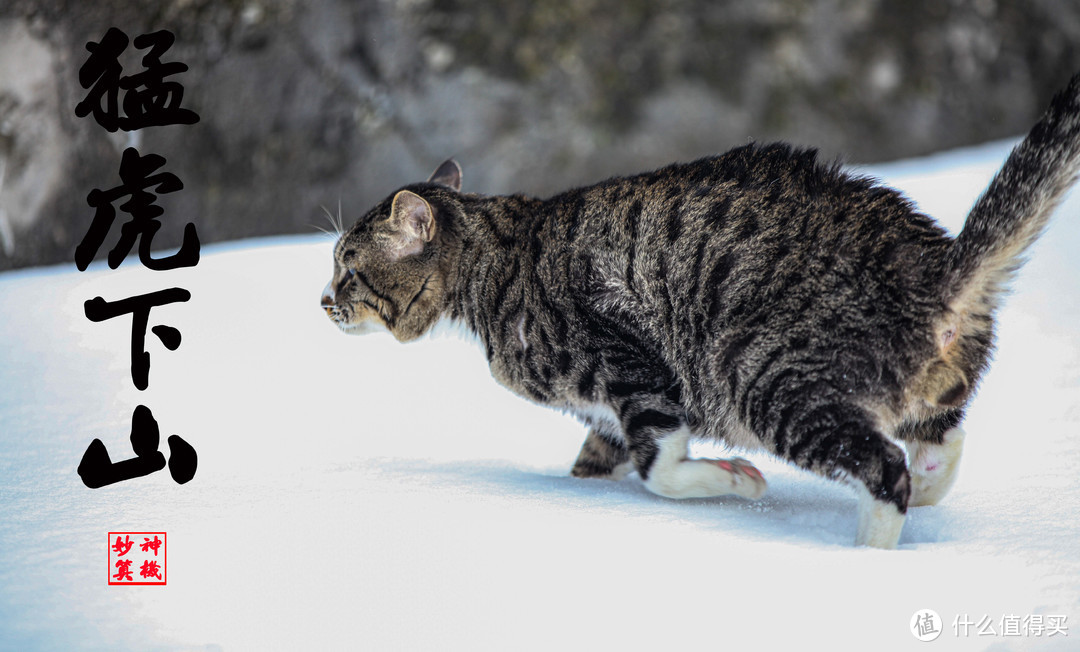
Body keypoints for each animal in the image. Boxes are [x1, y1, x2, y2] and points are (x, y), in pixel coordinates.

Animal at [319, 72, 1080, 550]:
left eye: (348, 268)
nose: (322, 299)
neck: (496, 264)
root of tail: (937, 270)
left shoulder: (628, 362)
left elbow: (660, 469)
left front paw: (732, 482)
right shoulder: (605, 417)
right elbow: (597, 467)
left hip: (766, 376)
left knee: (883, 465)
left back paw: (865, 559)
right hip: (920, 387)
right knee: (941, 445)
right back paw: (924, 490)